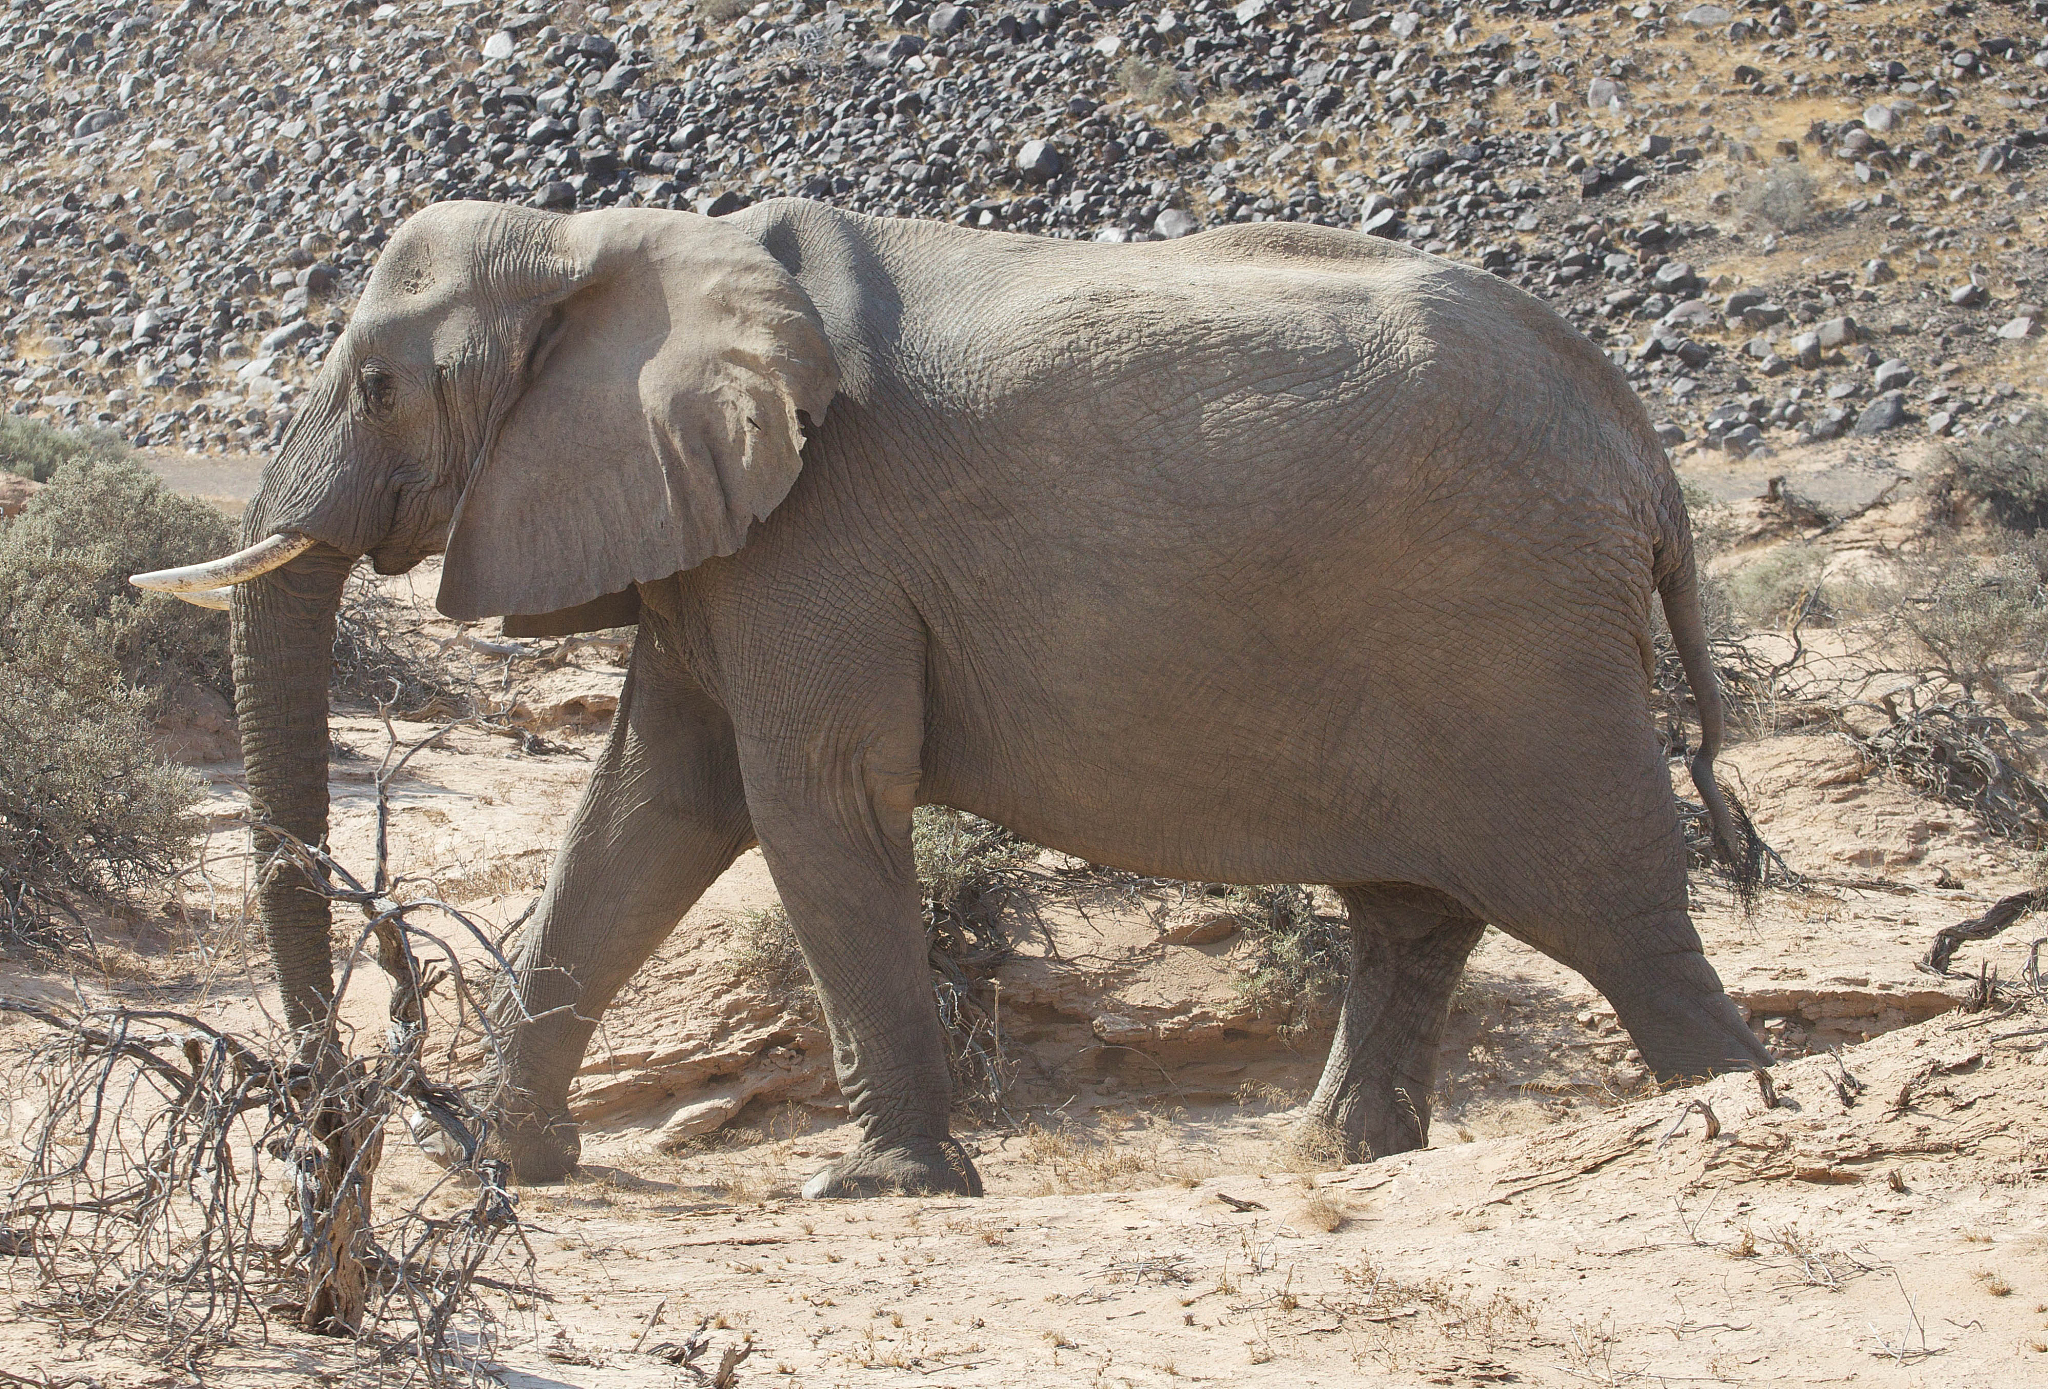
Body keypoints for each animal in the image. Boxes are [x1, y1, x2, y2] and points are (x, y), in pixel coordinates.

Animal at [133, 197, 1770, 1198]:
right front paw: (501, 1165)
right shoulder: (722, 534)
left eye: (379, 384)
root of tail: (1644, 452)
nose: (327, 1131)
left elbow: (805, 798)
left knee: (1616, 915)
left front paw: (875, 1185)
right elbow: (652, 808)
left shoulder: (816, 536)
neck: (608, 243)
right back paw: (1336, 1164)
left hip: (1520, 646)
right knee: (1415, 913)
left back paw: (1734, 1111)